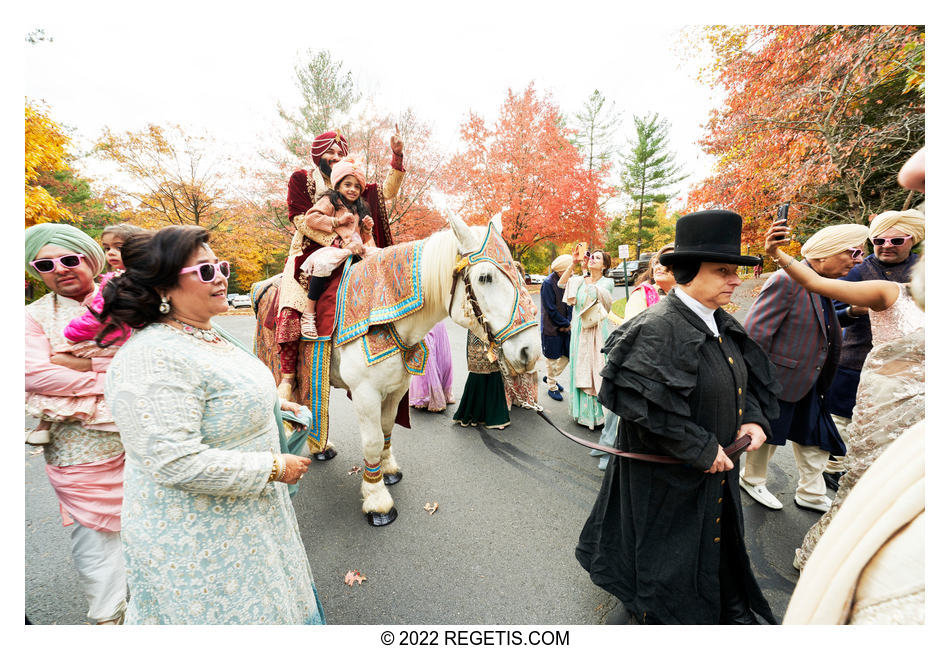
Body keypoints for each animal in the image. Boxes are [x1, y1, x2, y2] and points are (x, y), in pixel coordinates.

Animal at [328, 210, 540, 524]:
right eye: (485, 277)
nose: (531, 351)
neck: (386, 315)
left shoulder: (396, 389)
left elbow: (387, 428)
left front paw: (387, 471)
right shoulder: (365, 393)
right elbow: (372, 442)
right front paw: (377, 500)